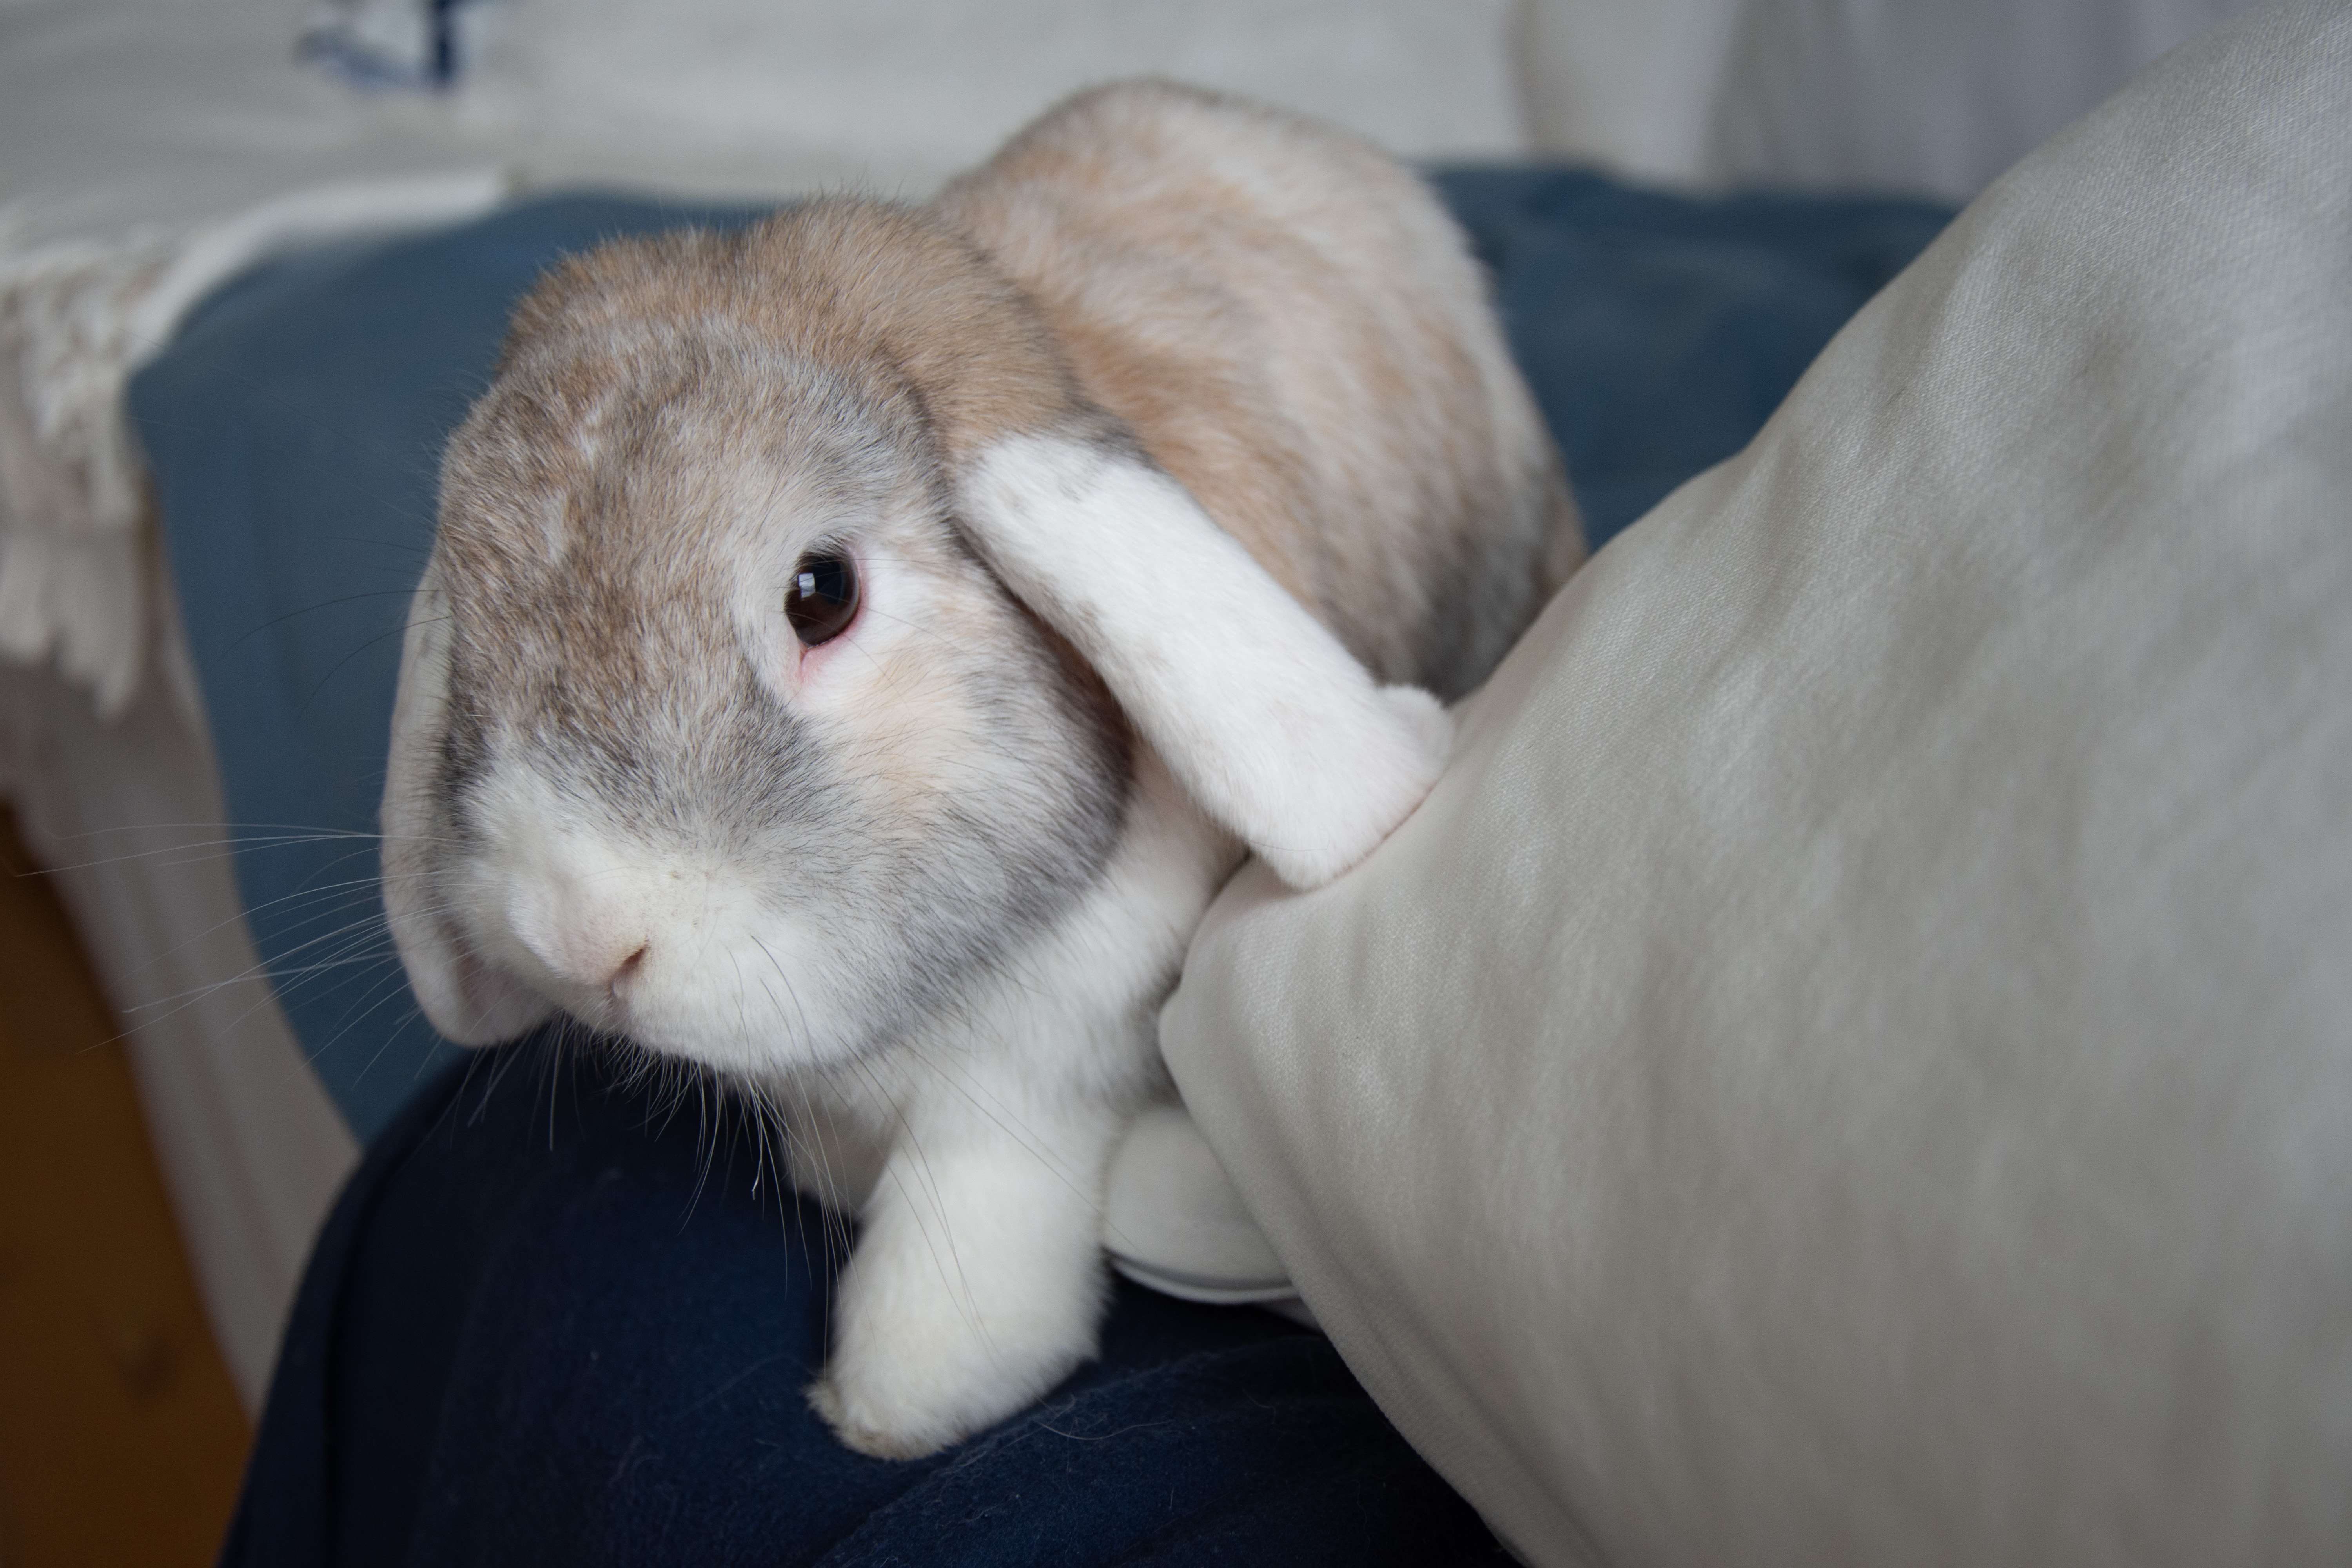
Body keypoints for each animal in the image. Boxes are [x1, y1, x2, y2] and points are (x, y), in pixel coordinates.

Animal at [381, 79, 1582, 1459]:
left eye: (822, 594)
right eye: (470, 611)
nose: (578, 938)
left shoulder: (1040, 1074)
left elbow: (966, 1212)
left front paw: (905, 1400)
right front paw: (830, 1174)